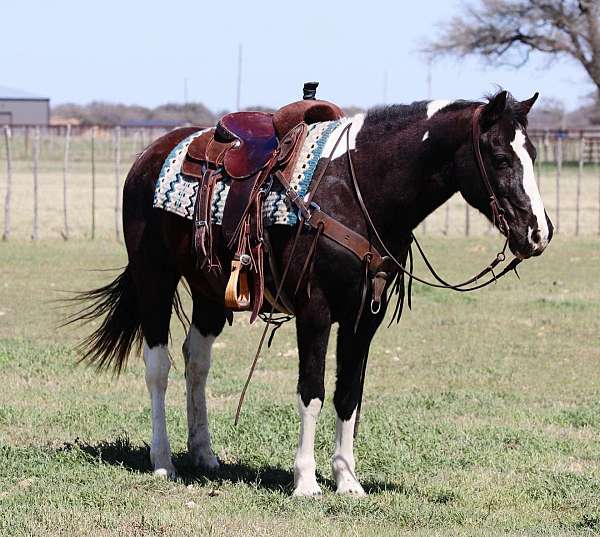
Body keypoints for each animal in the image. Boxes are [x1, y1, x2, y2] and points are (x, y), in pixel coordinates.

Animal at [70, 88, 552, 494]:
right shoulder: (315, 312)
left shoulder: (364, 318)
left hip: (208, 291)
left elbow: (348, 396)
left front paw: (348, 480)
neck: (358, 191)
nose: (539, 233)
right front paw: (305, 481)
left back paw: (204, 453)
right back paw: (163, 460)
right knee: (158, 366)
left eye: (532, 153)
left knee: (197, 363)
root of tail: (149, 156)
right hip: (154, 278)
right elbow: (312, 392)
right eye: (499, 157)